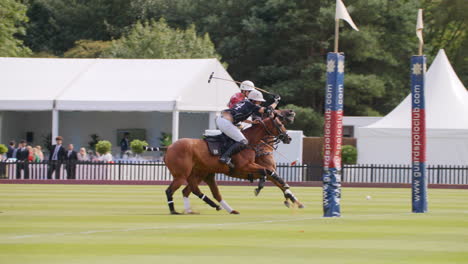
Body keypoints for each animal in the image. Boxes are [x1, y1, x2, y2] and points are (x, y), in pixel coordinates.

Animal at [165, 111, 304, 214]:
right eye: (279, 125)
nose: (288, 138)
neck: (251, 143)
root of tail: (169, 147)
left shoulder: (257, 168)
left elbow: (275, 178)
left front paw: (292, 199)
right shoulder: (244, 167)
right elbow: (267, 172)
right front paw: (260, 187)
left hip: (202, 174)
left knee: (194, 191)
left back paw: (220, 208)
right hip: (182, 175)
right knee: (173, 190)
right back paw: (175, 210)